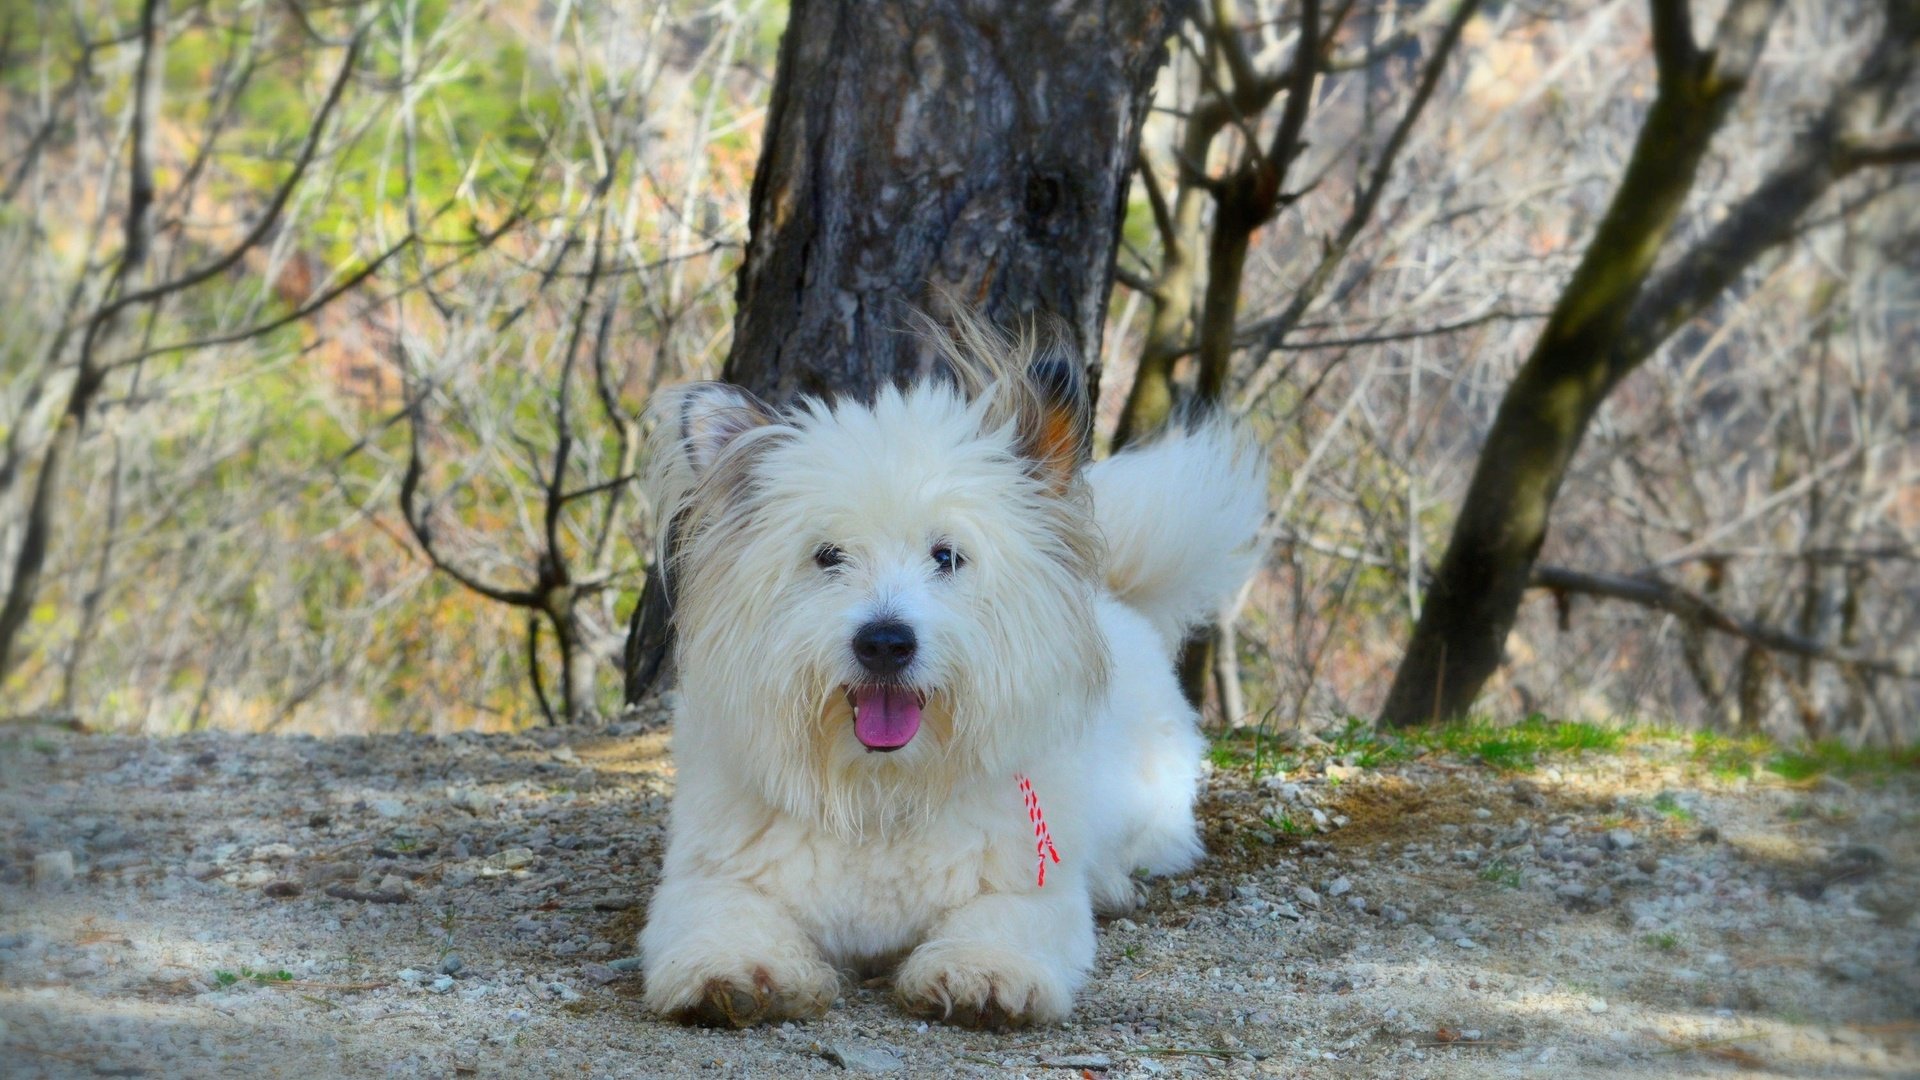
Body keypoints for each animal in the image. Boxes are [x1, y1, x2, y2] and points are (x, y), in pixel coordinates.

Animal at [637, 320, 1267, 1022]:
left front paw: (982, 974)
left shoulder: (1027, 890)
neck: (882, 791)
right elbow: (726, 919)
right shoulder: (713, 878)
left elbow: (999, 923)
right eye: (827, 556)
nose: (885, 642)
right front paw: (738, 973)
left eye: (947, 556)